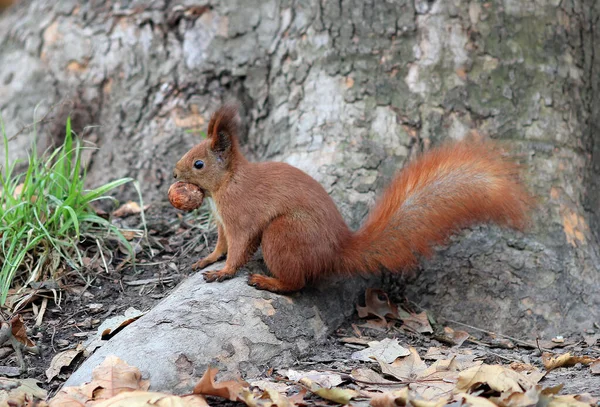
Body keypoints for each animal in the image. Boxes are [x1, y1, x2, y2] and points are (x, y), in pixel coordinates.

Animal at [171, 103, 532, 292]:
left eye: (199, 163)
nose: (174, 173)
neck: (226, 184)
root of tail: (336, 251)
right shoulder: (222, 222)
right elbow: (221, 245)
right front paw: (207, 260)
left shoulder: (240, 217)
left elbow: (238, 247)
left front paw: (224, 272)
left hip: (285, 233)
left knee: (297, 283)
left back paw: (269, 282)